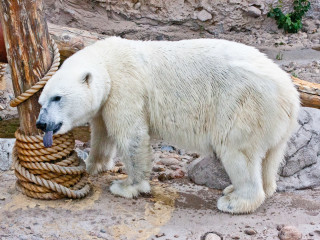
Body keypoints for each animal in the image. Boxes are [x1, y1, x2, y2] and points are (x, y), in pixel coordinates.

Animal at [37, 37, 300, 214]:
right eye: (41, 101)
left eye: (57, 98)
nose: (41, 123)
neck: (108, 60)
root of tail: (291, 94)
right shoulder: (106, 102)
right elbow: (102, 133)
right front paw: (92, 165)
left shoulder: (126, 87)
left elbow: (131, 136)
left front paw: (126, 186)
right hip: (274, 123)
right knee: (270, 157)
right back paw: (246, 189)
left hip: (244, 105)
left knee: (237, 151)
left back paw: (234, 201)